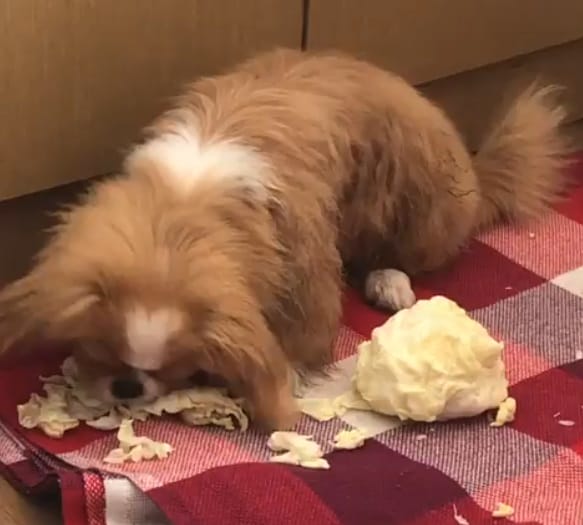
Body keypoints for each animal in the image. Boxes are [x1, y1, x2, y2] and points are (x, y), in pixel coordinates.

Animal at [0, 49, 570, 429]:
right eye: (102, 348)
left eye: (179, 365)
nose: (129, 385)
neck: (183, 210)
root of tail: (476, 178)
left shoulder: (303, 262)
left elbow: (297, 337)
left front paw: (286, 379)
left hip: (413, 205)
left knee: (399, 255)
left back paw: (389, 284)